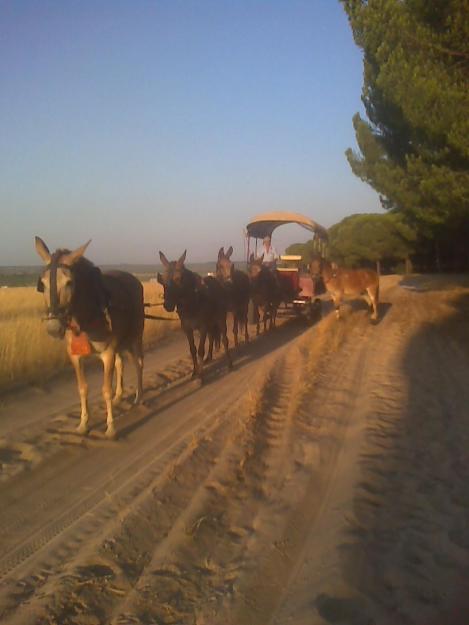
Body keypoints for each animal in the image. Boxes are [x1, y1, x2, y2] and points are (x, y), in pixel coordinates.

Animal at [34, 236, 144, 436]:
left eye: (69, 282)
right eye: (42, 284)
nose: (53, 328)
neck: (86, 316)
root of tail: (133, 279)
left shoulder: (107, 353)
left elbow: (105, 390)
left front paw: (110, 428)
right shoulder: (75, 356)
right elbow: (82, 388)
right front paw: (83, 423)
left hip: (135, 336)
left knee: (138, 363)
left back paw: (139, 396)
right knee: (121, 363)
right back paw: (119, 396)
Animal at [157, 250, 232, 380]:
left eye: (179, 278)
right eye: (163, 280)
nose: (167, 305)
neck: (192, 303)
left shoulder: (202, 327)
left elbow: (201, 350)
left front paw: (200, 376)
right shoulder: (187, 329)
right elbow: (193, 350)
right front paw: (194, 372)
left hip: (220, 320)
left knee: (224, 339)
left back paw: (229, 364)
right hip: (210, 324)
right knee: (212, 337)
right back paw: (209, 358)